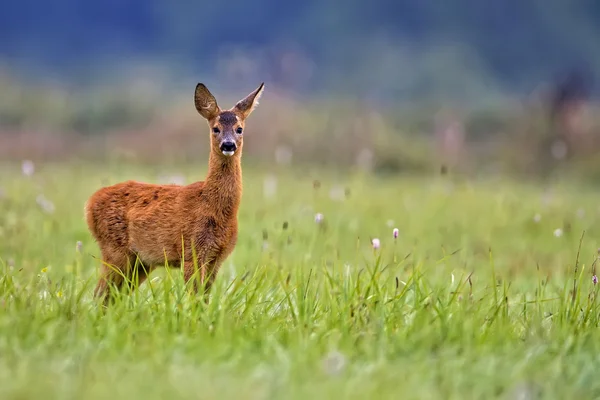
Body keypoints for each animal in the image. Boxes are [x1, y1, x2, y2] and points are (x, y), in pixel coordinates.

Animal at [84, 82, 264, 306]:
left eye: (239, 129)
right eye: (216, 128)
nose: (228, 144)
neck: (214, 207)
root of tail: (90, 203)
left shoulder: (216, 258)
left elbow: (204, 298)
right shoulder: (191, 252)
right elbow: (195, 298)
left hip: (141, 262)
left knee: (112, 295)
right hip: (114, 249)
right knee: (100, 293)